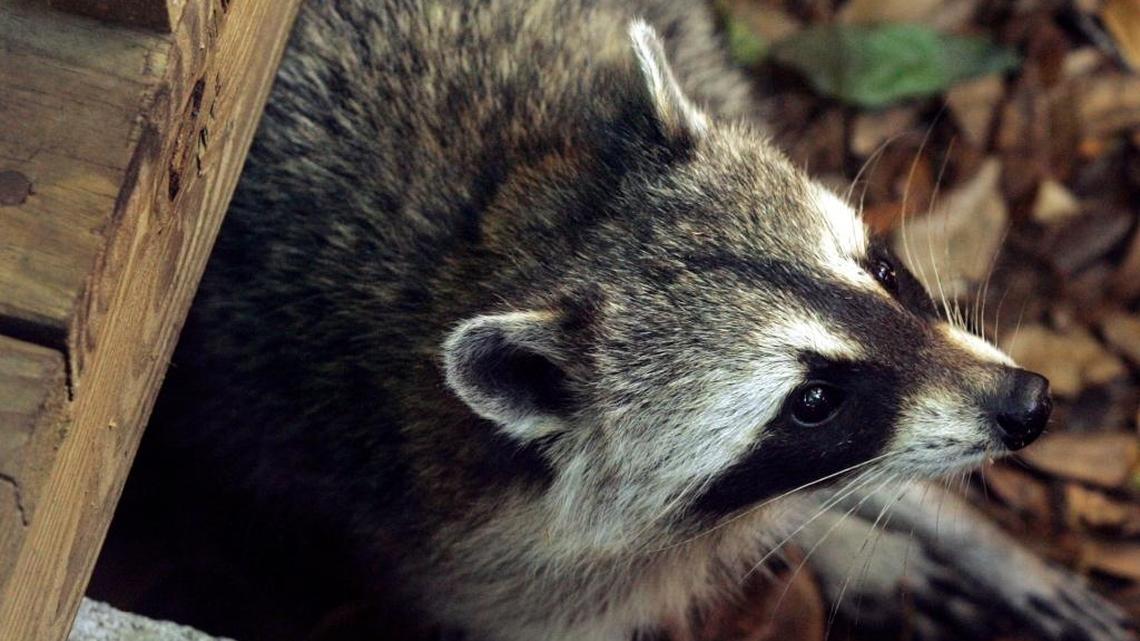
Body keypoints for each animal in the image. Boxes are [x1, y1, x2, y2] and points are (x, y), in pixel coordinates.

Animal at [106, 1, 1132, 640]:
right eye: (814, 400)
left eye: (883, 268)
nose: (1029, 405)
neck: (515, 224)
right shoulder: (454, 542)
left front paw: (933, 523)